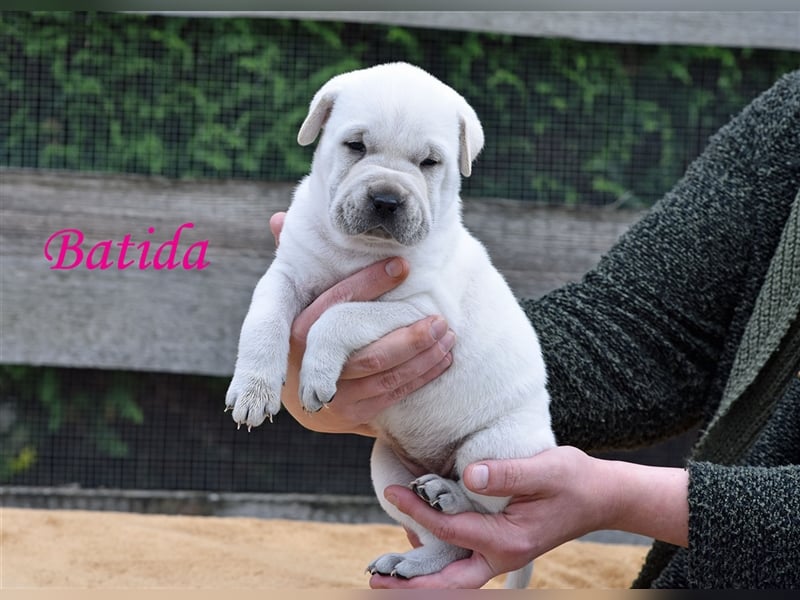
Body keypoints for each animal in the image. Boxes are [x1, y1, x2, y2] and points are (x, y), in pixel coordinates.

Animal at [227, 63, 556, 588]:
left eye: (430, 162)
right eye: (355, 146)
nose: (386, 198)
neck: (359, 251)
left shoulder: (423, 309)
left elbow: (340, 315)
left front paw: (316, 375)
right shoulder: (287, 272)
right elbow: (262, 319)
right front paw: (254, 390)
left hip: (496, 449)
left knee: (484, 512)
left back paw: (450, 494)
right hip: (387, 470)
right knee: (452, 542)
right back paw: (411, 561)